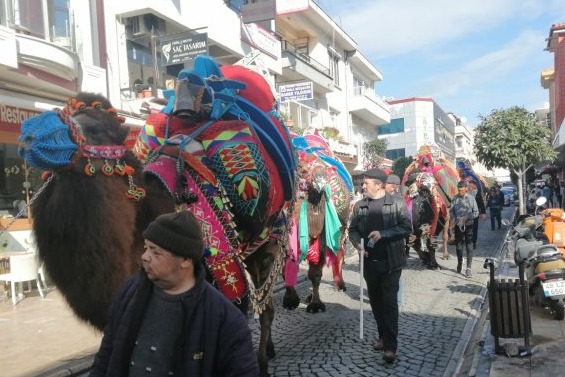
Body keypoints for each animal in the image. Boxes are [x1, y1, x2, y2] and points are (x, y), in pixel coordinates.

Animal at [18, 55, 296, 376]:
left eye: (98, 129)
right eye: (65, 110)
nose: (30, 133)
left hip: (268, 244)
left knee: (266, 307)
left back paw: (263, 359)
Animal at [282, 132, 352, 312]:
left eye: (324, 168)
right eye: (302, 168)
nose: (321, 181)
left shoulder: (325, 236)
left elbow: (315, 274)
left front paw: (315, 304)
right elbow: (286, 269)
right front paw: (290, 300)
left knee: (339, 254)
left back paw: (340, 285)